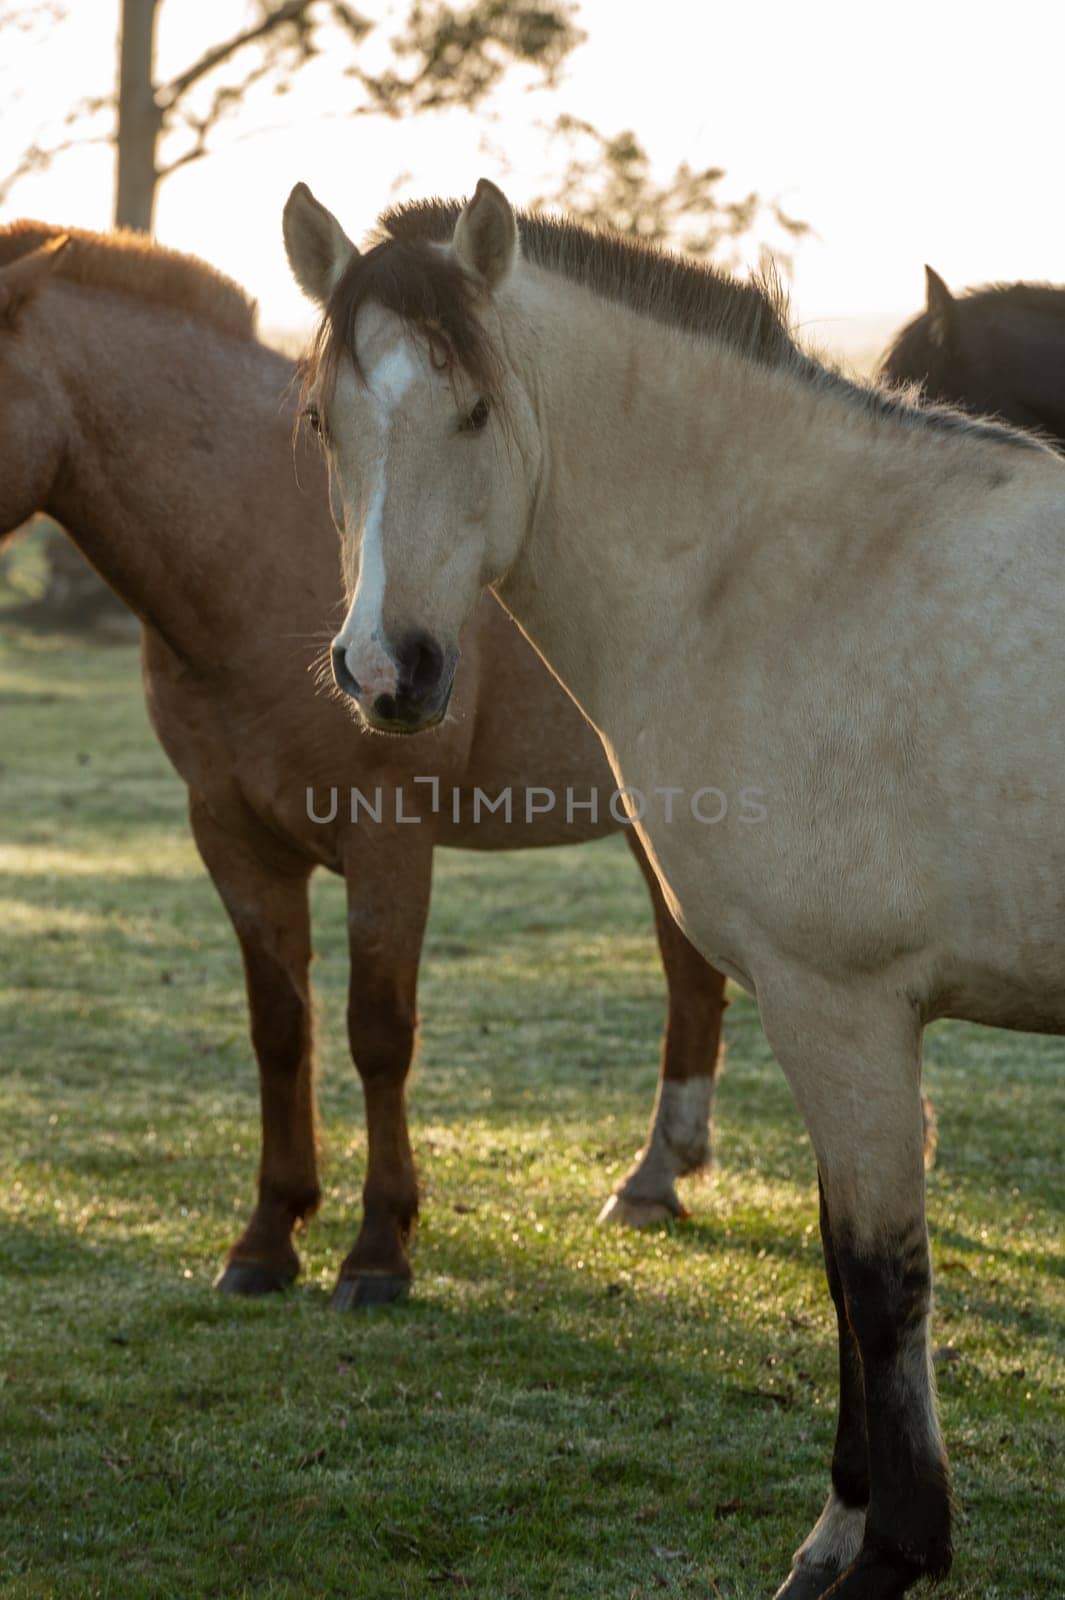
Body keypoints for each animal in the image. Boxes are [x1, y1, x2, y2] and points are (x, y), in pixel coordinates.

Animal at [0, 219, 725, 1305]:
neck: (259, 546)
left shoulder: (389, 836)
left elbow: (378, 1033)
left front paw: (379, 1246)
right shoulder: (232, 834)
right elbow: (280, 1029)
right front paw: (268, 1235)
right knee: (691, 970)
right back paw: (652, 1181)